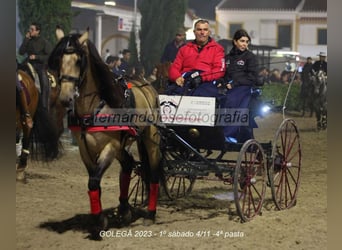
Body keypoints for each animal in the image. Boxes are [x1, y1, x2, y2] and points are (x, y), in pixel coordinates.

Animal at [48, 28, 163, 239]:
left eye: (79, 60)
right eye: (59, 59)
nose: (66, 98)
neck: (94, 108)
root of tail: (147, 85)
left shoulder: (109, 147)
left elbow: (94, 182)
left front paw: (98, 222)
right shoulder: (85, 150)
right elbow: (94, 183)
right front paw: (100, 218)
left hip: (151, 139)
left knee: (153, 173)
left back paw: (150, 214)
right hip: (123, 145)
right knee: (128, 164)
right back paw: (124, 209)